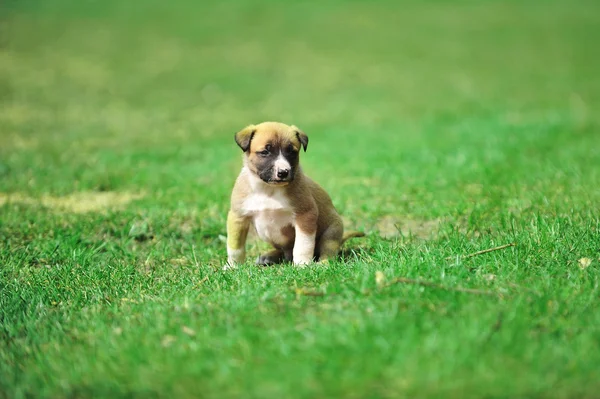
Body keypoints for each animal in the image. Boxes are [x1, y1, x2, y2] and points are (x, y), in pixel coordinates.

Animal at [227, 119, 364, 268]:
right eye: (265, 152)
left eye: (291, 152)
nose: (283, 172)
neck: (268, 190)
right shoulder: (238, 217)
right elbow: (235, 247)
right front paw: (232, 266)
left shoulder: (305, 216)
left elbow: (303, 245)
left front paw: (302, 264)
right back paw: (268, 257)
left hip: (331, 233)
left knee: (328, 250)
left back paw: (323, 263)